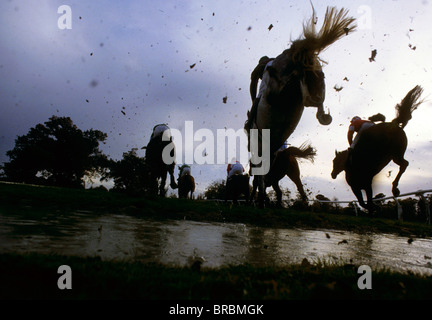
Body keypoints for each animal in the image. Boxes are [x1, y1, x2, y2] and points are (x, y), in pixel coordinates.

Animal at [248, 6, 356, 208]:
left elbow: (259, 184)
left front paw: (258, 200)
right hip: (310, 80)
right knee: (314, 93)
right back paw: (323, 114)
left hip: (280, 90)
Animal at [332, 86, 424, 214]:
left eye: (335, 161)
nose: (332, 174)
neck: (350, 164)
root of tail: (394, 124)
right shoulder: (356, 187)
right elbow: (363, 203)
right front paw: (375, 207)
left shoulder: (367, 184)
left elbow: (369, 203)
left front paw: (376, 207)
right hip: (394, 155)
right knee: (404, 164)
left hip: (396, 153)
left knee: (404, 164)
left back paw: (395, 188)